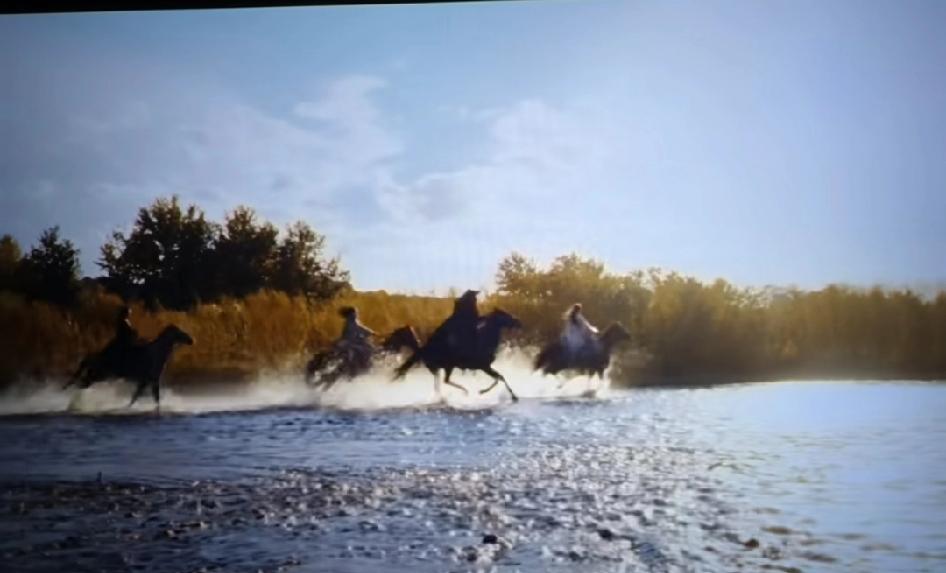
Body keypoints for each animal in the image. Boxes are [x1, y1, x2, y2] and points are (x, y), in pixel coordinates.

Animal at [65, 324, 194, 411]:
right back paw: (69, 389)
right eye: (179, 332)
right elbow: (151, 397)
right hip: (101, 373)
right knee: (85, 369)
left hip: (100, 374)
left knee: (85, 375)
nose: (191, 340)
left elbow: (138, 397)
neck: (158, 354)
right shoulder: (152, 380)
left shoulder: (146, 381)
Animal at [394, 308, 522, 402]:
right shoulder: (484, 367)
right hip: (446, 367)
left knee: (440, 383)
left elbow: (500, 377)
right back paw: (463, 392)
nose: (518, 322)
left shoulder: (486, 367)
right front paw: (483, 391)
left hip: (441, 368)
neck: (484, 341)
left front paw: (513, 396)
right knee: (444, 381)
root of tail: (423, 350)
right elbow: (498, 378)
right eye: (504, 315)